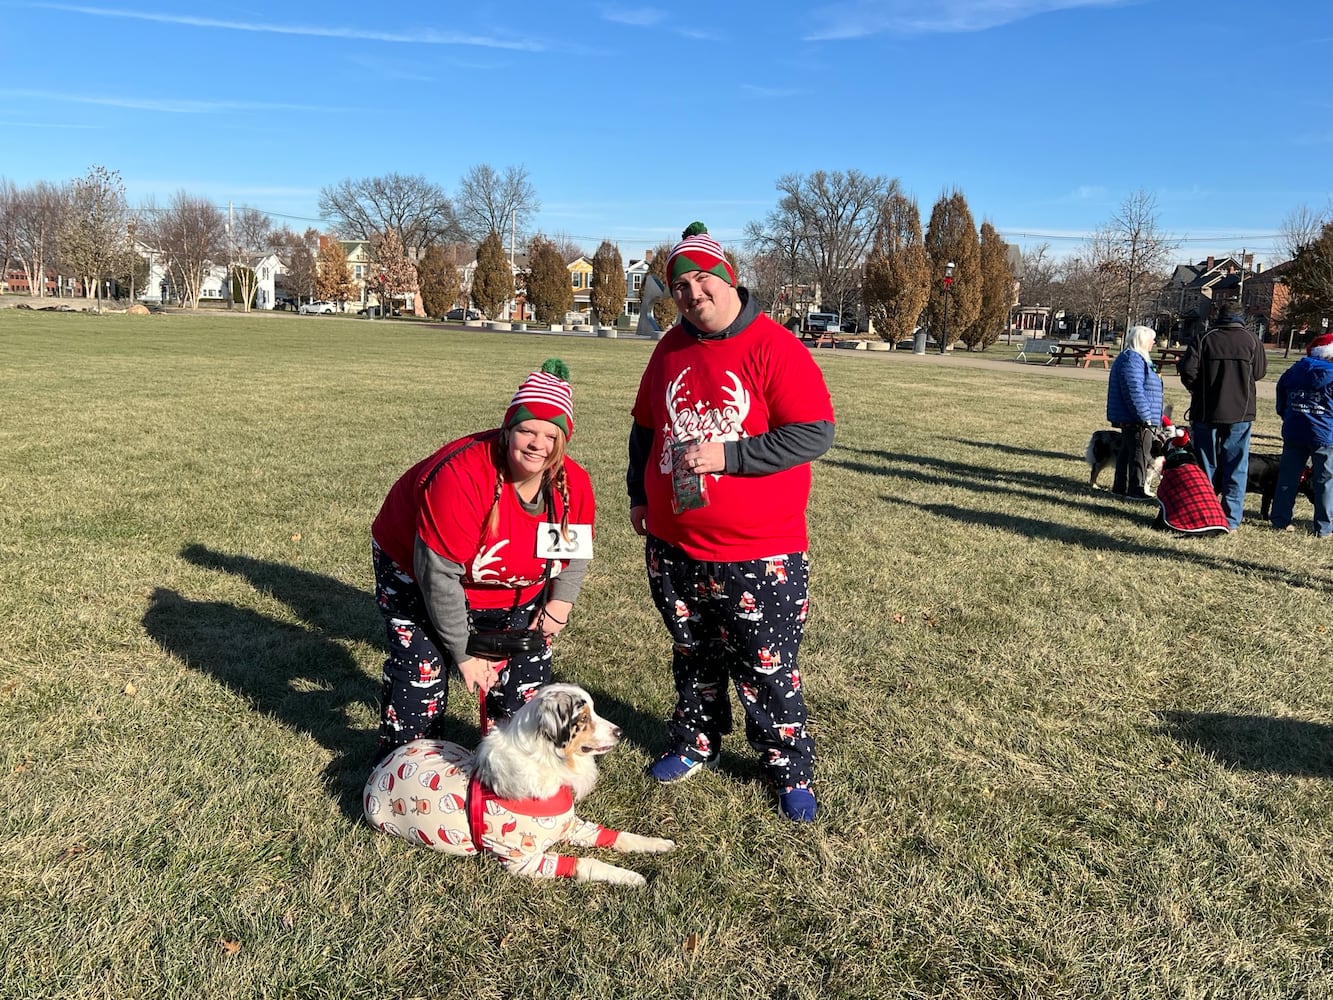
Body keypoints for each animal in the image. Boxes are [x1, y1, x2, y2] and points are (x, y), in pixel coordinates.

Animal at [362, 688, 671, 890]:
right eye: (583, 718)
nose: (619, 732)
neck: (550, 766)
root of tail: (380, 767)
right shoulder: (523, 861)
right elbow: (588, 862)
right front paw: (630, 876)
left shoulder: (571, 825)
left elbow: (618, 836)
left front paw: (656, 844)